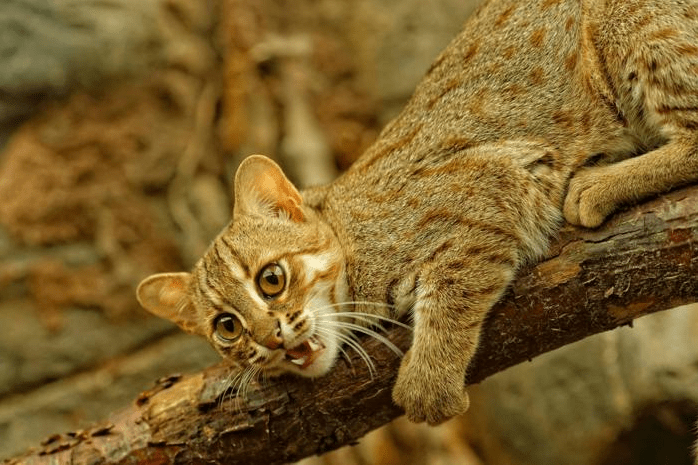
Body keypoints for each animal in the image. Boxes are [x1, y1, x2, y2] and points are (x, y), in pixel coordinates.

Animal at [137, 0, 696, 422]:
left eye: (271, 279)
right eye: (227, 328)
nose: (269, 340)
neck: (350, 242)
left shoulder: (493, 180)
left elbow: (452, 290)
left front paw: (428, 383)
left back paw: (597, 186)